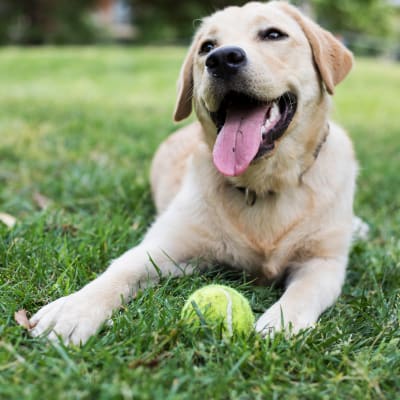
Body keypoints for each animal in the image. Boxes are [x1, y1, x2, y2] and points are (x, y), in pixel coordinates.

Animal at [29, 0, 358, 344]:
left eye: (273, 34)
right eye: (207, 47)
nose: (222, 59)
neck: (261, 184)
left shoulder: (324, 263)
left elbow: (304, 291)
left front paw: (281, 323)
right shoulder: (166, 245)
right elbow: (122, 268)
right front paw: (73, 309)